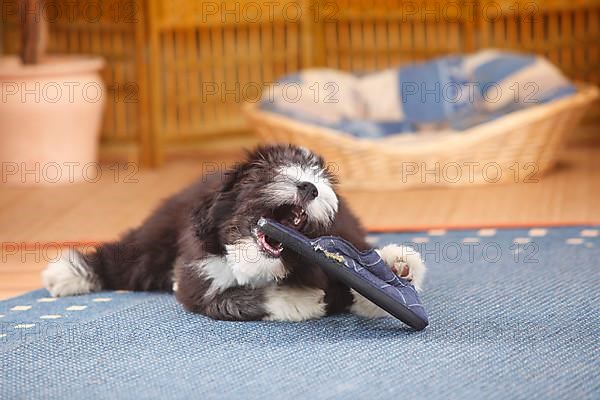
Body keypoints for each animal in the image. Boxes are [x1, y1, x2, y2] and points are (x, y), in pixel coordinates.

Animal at [42, 145, 424, 322]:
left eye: (322, 178)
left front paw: (398, 266)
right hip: (157, 240)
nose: (310, 187)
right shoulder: (197, 281)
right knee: (126, 259)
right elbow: (231, 297)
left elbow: (357, 288)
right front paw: (296, 299)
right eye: (270, 170)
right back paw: (67, 274)